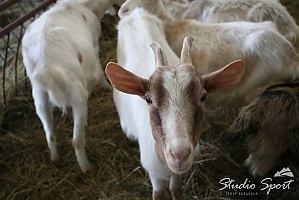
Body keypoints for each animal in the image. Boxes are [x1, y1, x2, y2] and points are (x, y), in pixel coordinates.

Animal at [21, 0, 115, 173]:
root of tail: (47, 67)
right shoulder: (94, 46)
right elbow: (99, 70)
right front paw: (108, 87)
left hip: (40, 97)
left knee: (50, 135)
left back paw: (55, 159)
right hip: (77, 94)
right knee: (77, 140)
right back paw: (86, 168)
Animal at [106, 7, 245, 198]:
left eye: (203, 97)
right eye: (148, 99)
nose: (180, 155)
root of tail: (136, 13)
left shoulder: (178, 173)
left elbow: (176, 190)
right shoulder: (154, 173)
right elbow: (159, 194)